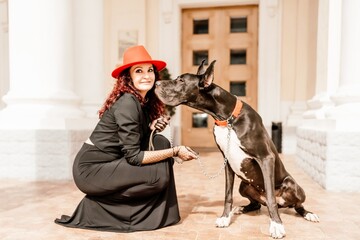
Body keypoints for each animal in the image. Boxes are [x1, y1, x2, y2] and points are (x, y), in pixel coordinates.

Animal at [154, 60, 318, 238]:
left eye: (181, 80)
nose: (156, 83)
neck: (227, 119)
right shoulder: (227, 162)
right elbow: (228, 195)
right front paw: (225, 218)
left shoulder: (266, 158)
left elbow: (271, 196)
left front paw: (276, 225)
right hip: (244, 186)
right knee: (257, 204)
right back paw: (241, 208)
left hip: (293, 186)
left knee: (295, 205)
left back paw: (308, 214)